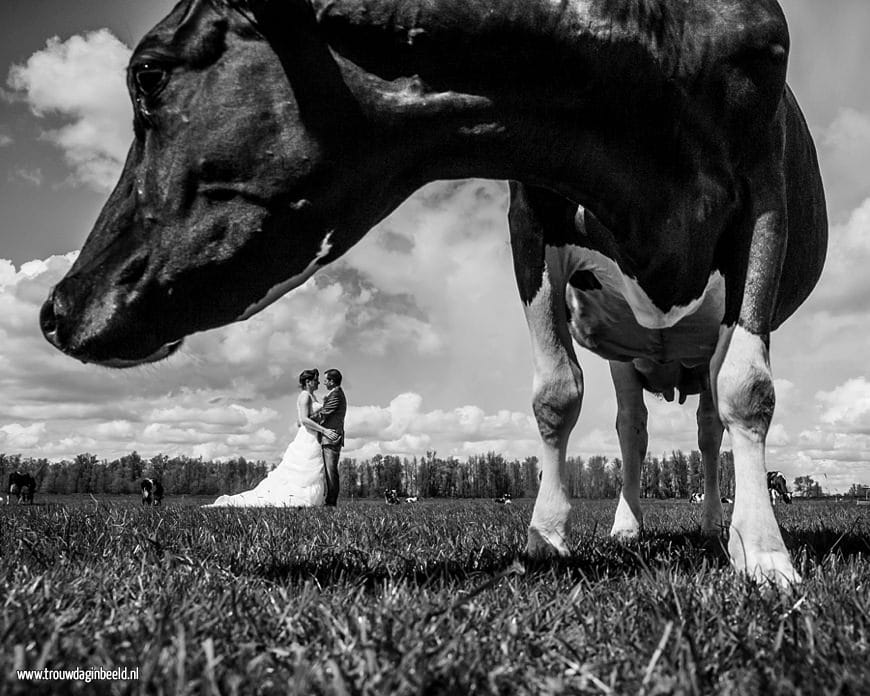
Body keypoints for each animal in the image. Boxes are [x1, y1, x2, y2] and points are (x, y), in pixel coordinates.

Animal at [39, 0, 832, 588]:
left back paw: (715, 524)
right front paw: (544, 539)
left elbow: (748, 390)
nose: (55, 310)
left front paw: (765, 553)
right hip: (624, 351)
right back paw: (631, 526)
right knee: (634, 429)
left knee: (706, 425)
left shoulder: (765, 190)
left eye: (148, 73)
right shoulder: (529, 213)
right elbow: (557, 394)